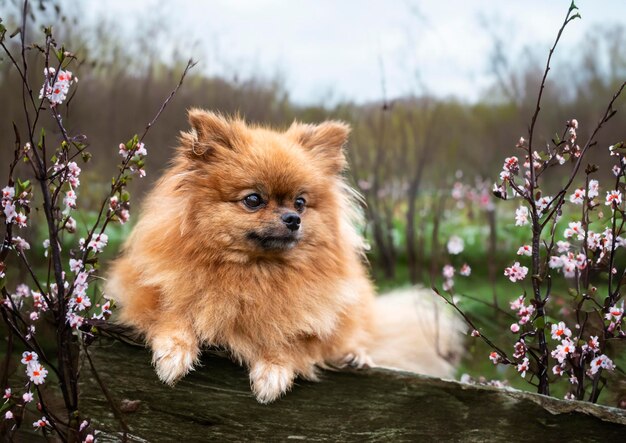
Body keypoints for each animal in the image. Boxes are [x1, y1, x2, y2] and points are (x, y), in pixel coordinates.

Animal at [105, 109, 460, 404]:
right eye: (253, 200)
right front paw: (174, 353)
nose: (293, 218)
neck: (255, 273)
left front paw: (273, 369)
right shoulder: (148, 289)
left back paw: (355, 355)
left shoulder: (309, 317)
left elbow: (290, 336)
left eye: (300, 202)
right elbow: (172, 313)